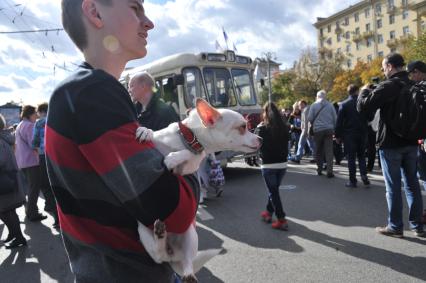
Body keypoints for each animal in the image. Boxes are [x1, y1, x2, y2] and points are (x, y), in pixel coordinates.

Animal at [136, 98, 262, 282]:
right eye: (242, 127)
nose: (261, 138)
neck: (187, 140)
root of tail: (173, 254)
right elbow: (156, 136)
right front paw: (146, 131)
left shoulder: (188, 168)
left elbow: (189, 154)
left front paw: (172, 158)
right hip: (142, 230)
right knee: (159, 255)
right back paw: (160, 235)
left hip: (190, 235)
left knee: (183, 260)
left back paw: (187, 272)